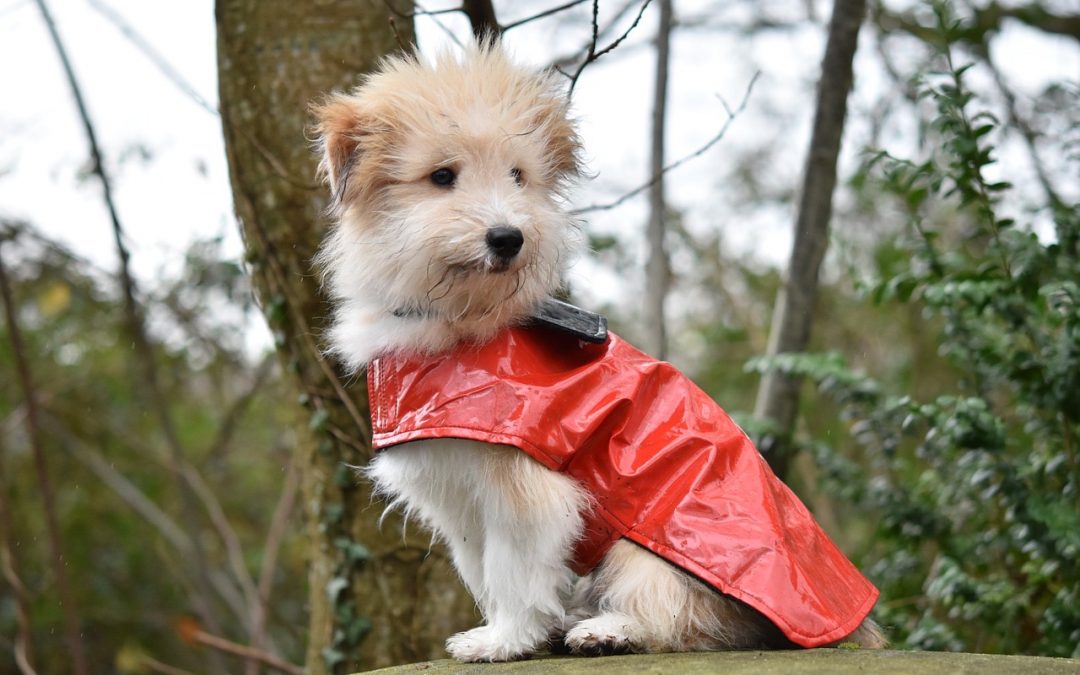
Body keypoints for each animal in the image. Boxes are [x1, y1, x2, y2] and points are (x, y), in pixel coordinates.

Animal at [313, 43, 885, 665]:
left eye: (518, 176)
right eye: (442, 177)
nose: (508, 237)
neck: (465, 320)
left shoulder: (526, 489)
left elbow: (512, 570)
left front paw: (506, 638)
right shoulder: (457, 496)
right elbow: (481, 567)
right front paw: (511, 632)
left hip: (649, 549)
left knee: (686, 620)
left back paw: (609, 630)